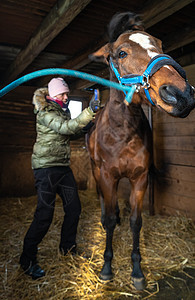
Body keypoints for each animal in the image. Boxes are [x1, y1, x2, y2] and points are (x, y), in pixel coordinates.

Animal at [87, 12, 195, 290]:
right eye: (121, 53)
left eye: (160, 45)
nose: (180, 94)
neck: (122, 131)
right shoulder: (107, 177)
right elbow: (110, 219)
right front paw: (107, 267)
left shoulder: (140, 178)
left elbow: (136, 222)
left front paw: (137, 271)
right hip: (96, 171)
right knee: (104, 203)